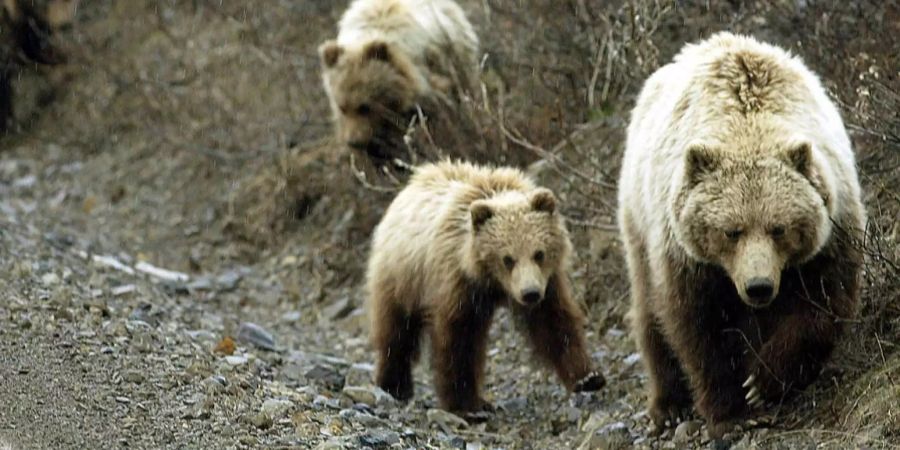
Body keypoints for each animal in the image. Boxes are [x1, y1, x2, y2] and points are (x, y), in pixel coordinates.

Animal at [366, 160, 604, 416]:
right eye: (507, 258)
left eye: (539, 253)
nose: (530, 293)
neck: (492, 282)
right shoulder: (458, 284)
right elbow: (459, 340)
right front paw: (465, 403)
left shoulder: (547, 283)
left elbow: (554, 323)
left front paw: (588, 377)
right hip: (402, 277)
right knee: (396, 331)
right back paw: (394, 386)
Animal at [620, 33, 864, 438]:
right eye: (731, 231)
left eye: (778, 228)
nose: (758, 287)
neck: (746, 123)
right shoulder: (687, 256)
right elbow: (699, 327)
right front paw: (733, 412)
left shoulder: (831, 227)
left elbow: (823, 302)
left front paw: (762, 381)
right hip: (636, 215)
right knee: (648, 308)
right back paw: (668, 405)